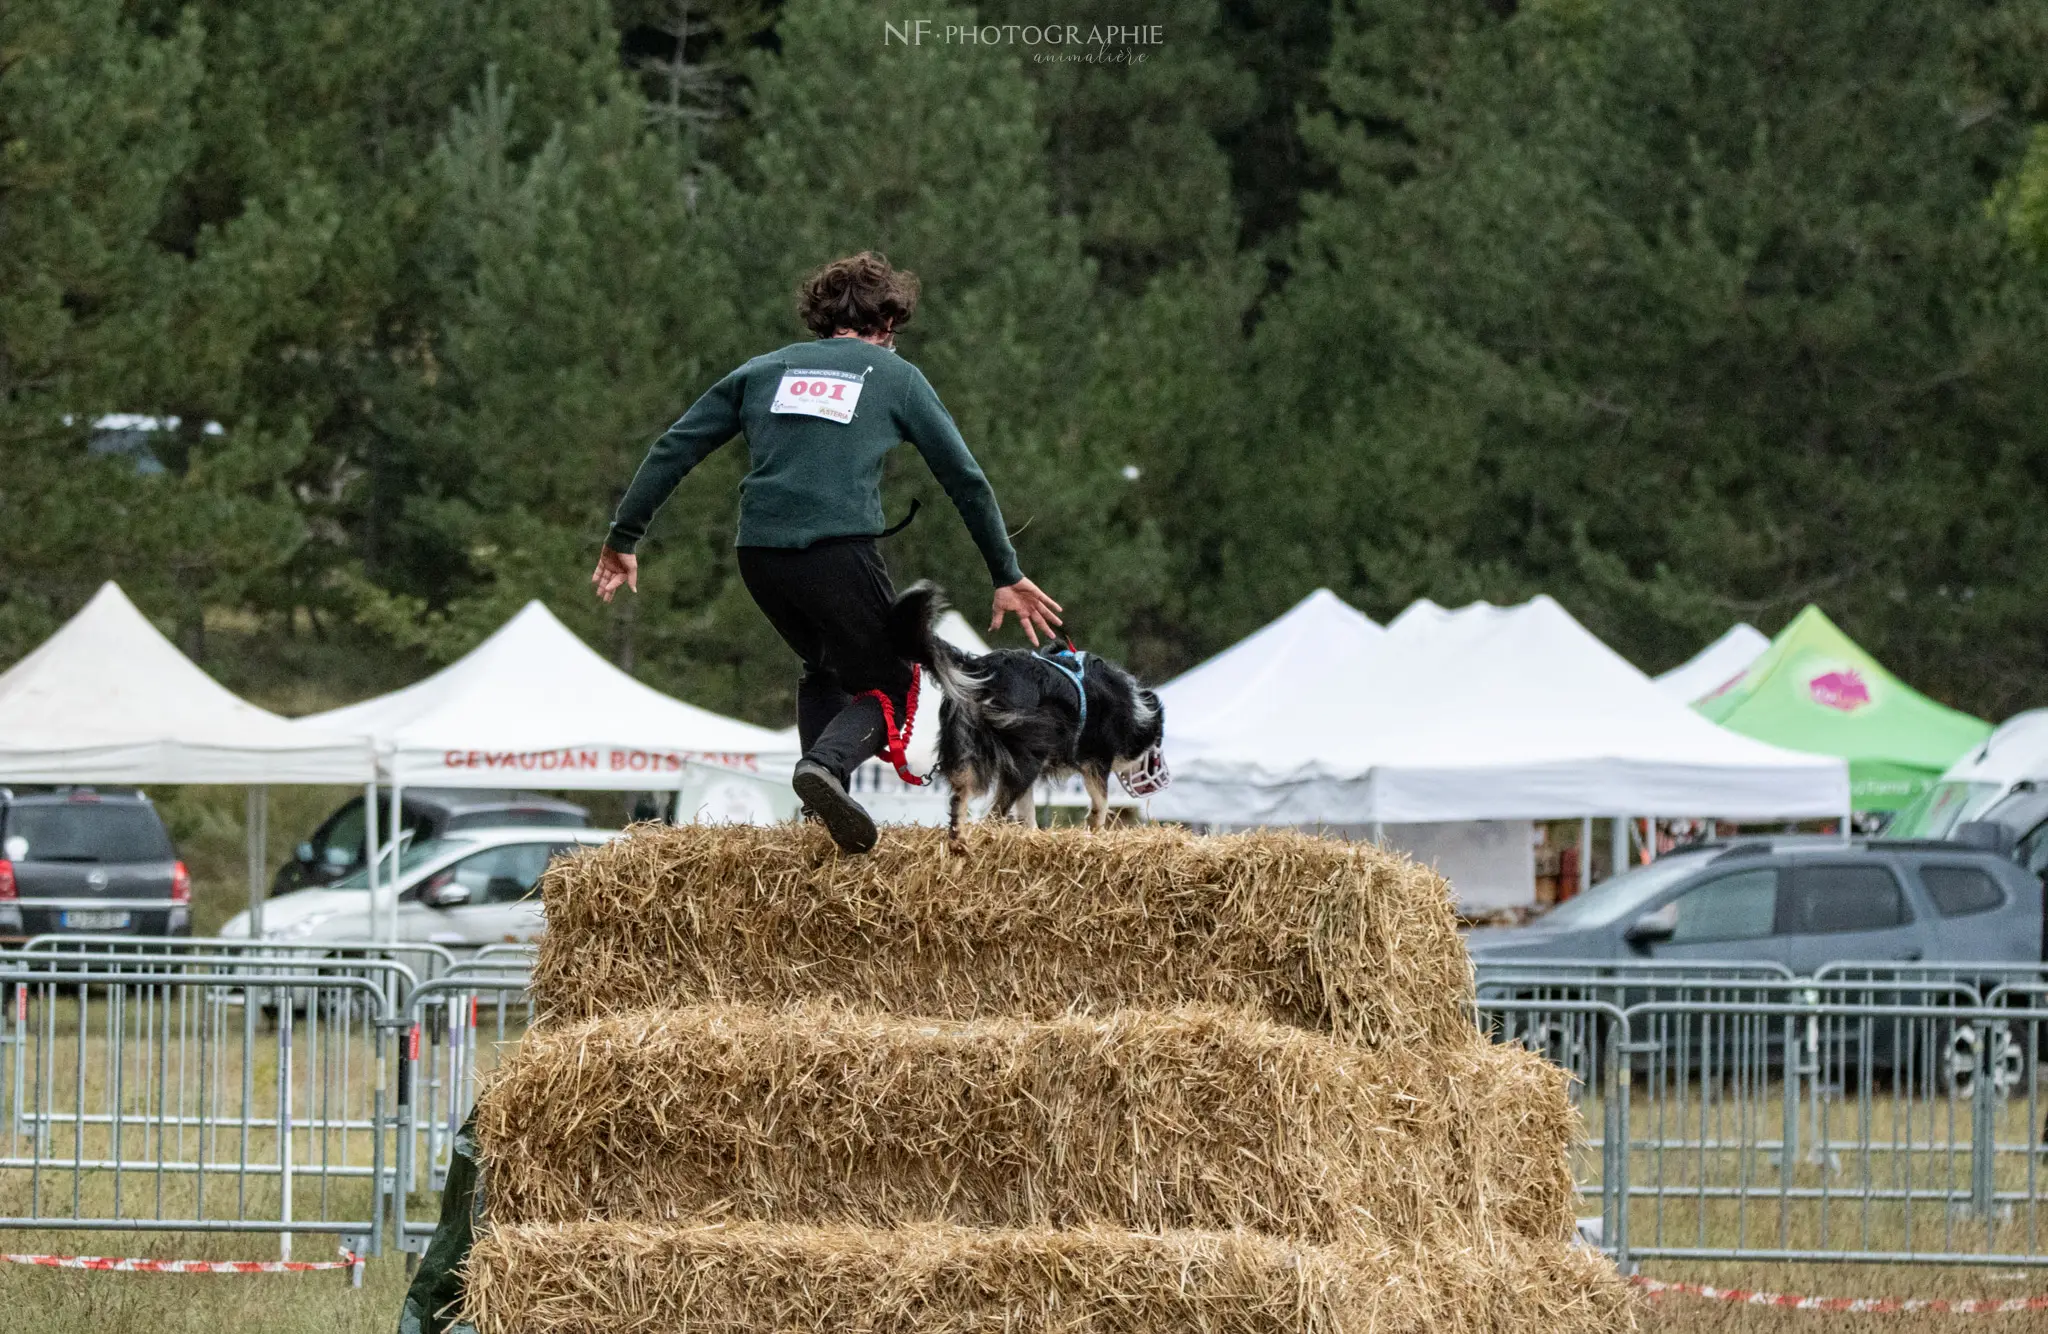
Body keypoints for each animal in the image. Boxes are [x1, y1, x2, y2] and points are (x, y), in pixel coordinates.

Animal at [884, 577, 1171, 840]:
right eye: (1158, 744)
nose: (1164, 778)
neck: (1134, 709)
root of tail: (982, 669)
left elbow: (1028, 808)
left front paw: (1032, 835)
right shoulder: (1096, 758)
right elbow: (1101, 801)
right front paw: (1095, 829)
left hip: (969, 751)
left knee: (963, 802)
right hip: (1024, 756)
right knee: (994, 812)